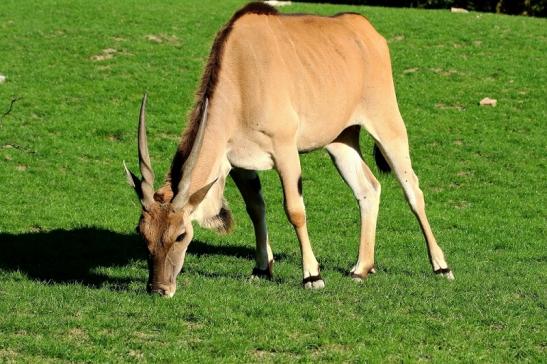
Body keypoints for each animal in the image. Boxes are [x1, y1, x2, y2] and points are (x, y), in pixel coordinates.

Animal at [124, 2, 454, 298]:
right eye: (143, 233)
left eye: (181, 234)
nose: (158, 288)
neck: (242, 73)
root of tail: (365, 28)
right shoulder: (240, 165)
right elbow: (256, 208)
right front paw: (262, 268)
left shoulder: (285, 153)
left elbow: (295, 211)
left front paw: (312, 276)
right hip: (341, 141)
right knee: (368, 189)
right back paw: (361, 268)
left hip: (388, 127)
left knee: (413, 191)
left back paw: (441, 266)